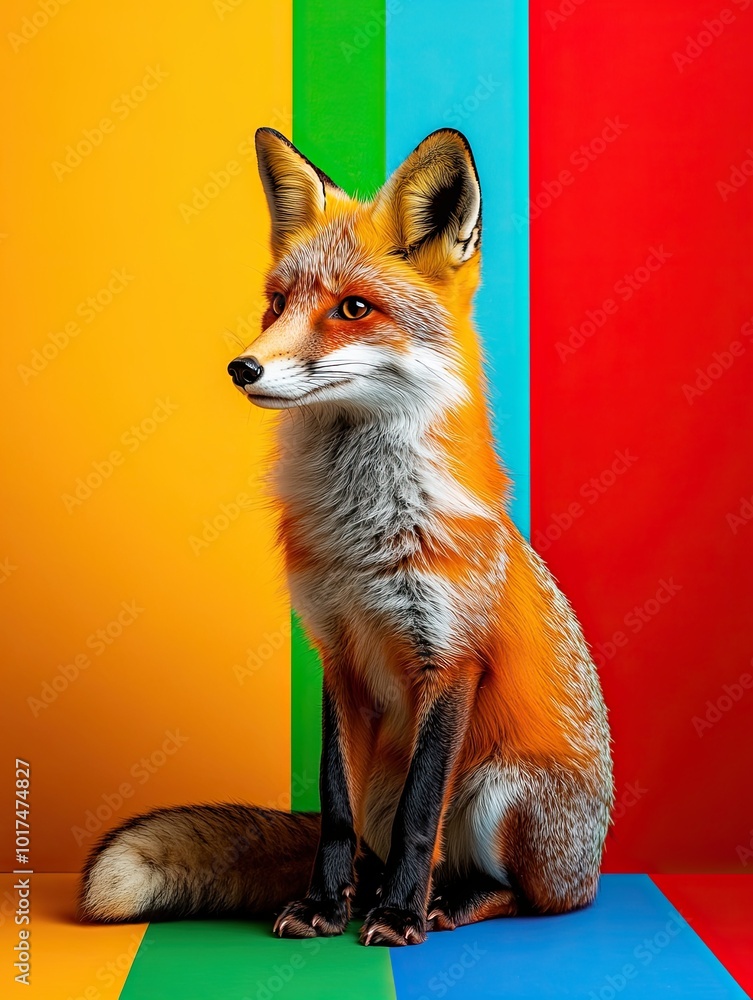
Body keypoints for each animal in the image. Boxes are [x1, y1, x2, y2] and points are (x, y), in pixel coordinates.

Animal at [79, 127, 613, 947]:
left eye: (353, 308)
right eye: (276, 304)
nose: (242, 366)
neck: (363, 538)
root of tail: (588, 866)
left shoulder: (450, 658)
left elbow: (423, 816)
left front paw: (396, 915)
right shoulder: (337, 653)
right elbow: (333, 808)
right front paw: (325, 904)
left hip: (500, 794)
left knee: (518, 893)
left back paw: (440, 902)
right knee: (374, 842)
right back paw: (369, 889)